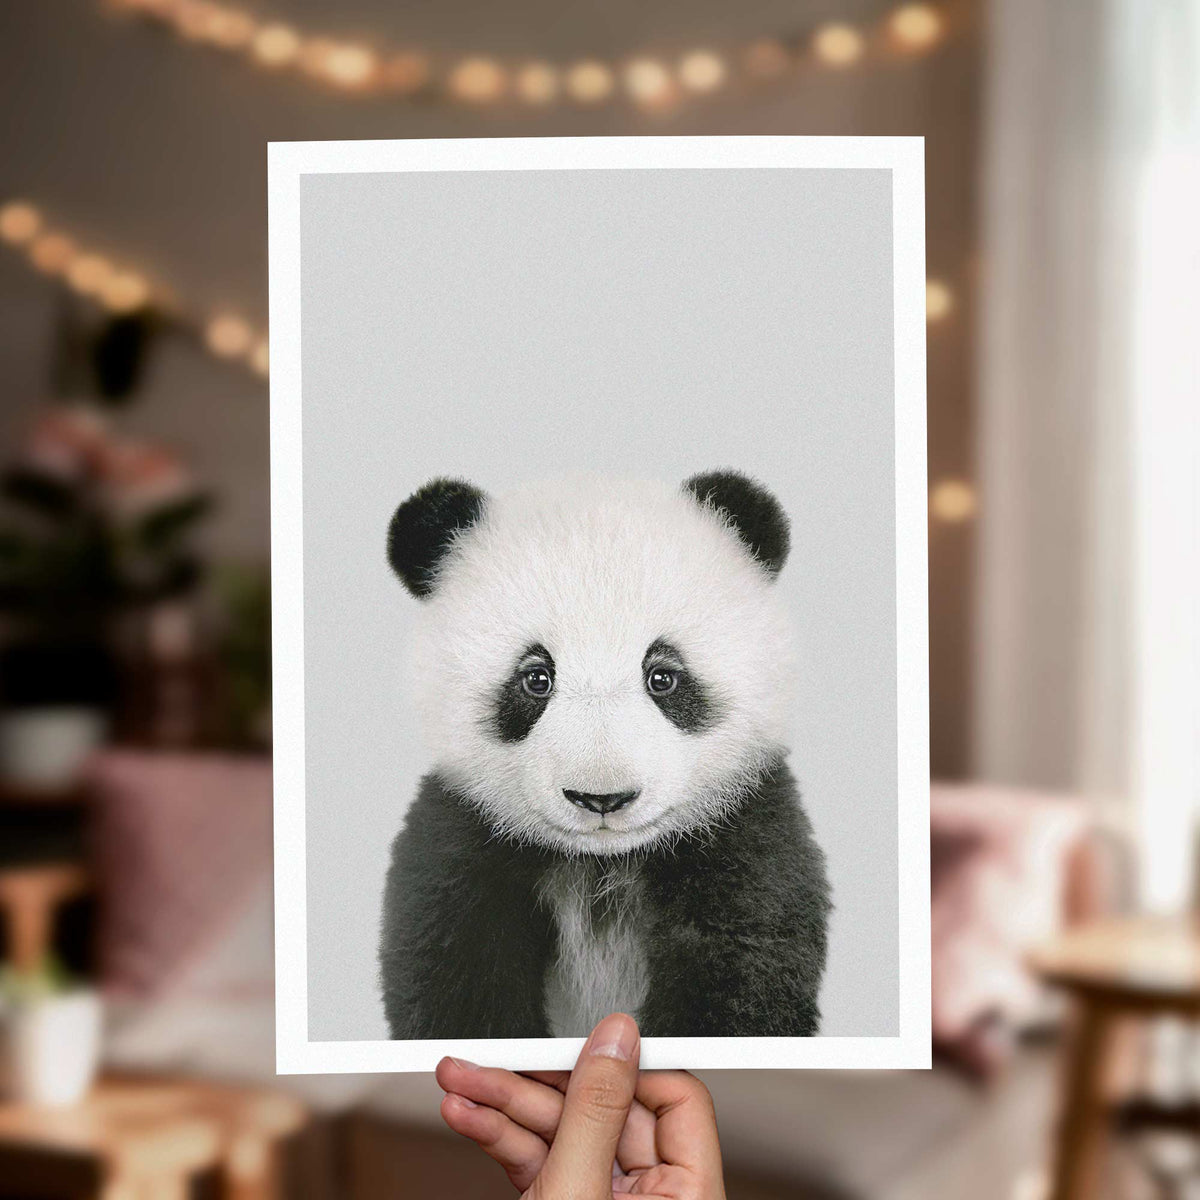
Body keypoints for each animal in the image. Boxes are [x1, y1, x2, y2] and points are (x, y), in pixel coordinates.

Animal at [378, 470, 831, 1039]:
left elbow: (746, 966)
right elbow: (455, 980)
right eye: (536, 678)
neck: (602, 865)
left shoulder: (746, 833)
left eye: (663, 676)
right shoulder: (461, 841)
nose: (601, 798)